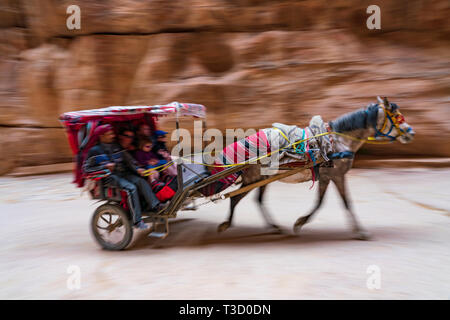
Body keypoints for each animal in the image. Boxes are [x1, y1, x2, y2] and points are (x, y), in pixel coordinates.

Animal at [217, 96, 414, 239]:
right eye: (397, 116)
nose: (411, 132)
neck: (339, 141)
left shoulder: (329, 177)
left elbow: (323, 202)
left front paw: (300, 222)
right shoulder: (335, 175)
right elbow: (342, 202)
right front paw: (360, 232)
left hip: (261, 179)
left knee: (256, 200)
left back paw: (273, 227)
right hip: (254, 178)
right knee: (235, 199)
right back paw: (226, 224)